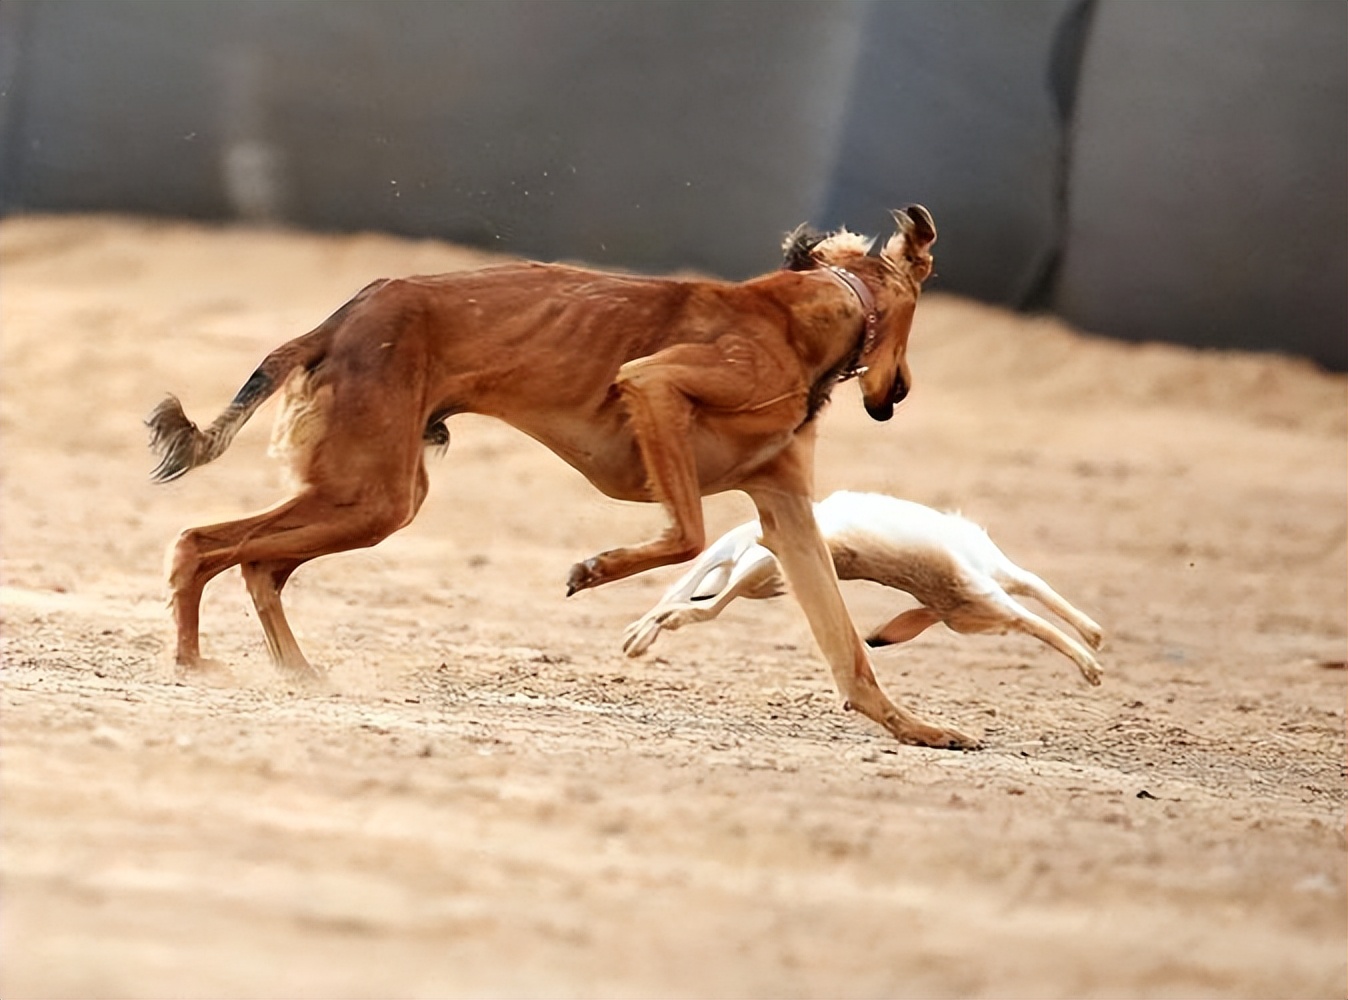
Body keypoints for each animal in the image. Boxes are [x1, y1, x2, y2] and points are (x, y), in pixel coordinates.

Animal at [150, 207, 981, 749]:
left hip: (374, 497)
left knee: (257, 562)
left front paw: (917, 728)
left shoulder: (788, 513)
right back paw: (192, 662)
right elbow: (686, 535)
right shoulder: (652, 388)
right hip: (370, 496)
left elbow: (848, 651)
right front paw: (594, 569)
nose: (897, 395)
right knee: (200, 543)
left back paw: (294, 671)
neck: (814, 309)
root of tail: (343, 317)